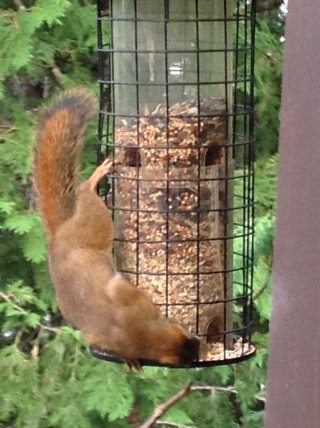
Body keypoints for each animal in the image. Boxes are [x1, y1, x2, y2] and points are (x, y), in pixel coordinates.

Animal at [32, 88, 198, 370]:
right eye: (184, 333)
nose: (200, 343)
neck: (135, 332)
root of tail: (60, 232)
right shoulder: (131, 300)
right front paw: (131, 359)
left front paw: (131, 360)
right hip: (95, 221)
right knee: (85, 191)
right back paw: (98, 177)